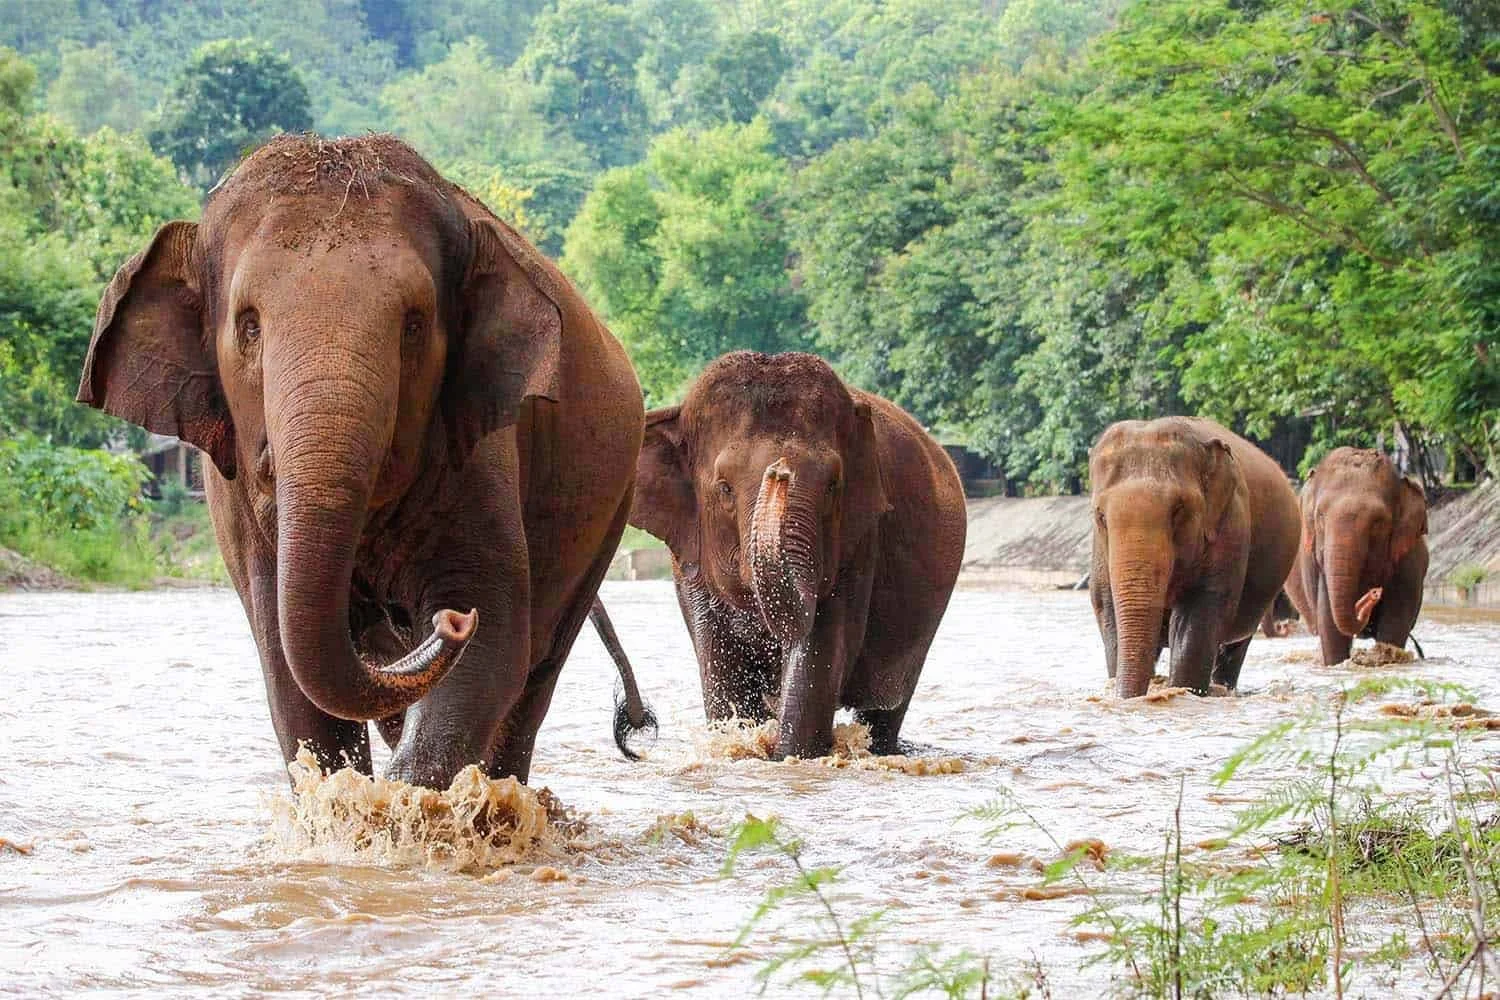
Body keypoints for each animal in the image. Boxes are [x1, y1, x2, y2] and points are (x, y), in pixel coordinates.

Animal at [77, 133, 653, 788]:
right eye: (248, 326)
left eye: (414, 325)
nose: (451, 621)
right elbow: (287, 668)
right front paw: (346, 800)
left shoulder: (479, 449)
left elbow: (496, 639)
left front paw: (399, 803)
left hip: (609, 512)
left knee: (534, 671)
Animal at [629, 351, 966, 759]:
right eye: (724, 488)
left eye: (834, 485)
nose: (780, 471)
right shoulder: (688, 561)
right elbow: (720, 663)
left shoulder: (859, 541)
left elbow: (820, 647)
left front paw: (791, 754)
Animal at [1088, 417, 1301, 698]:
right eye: (1100, 515)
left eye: (1178, 510)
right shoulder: (1100, 548)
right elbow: (1108, 605)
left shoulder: (1229, 525)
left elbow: (1199, 611)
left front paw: (1184, 691)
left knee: (1234, 649)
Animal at [1283, 447, 1428, 665]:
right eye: (1320, 516)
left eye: (1378, 522)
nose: (1374, 593)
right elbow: (1329, 626)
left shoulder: (1407, 565)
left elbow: (1395, 623)